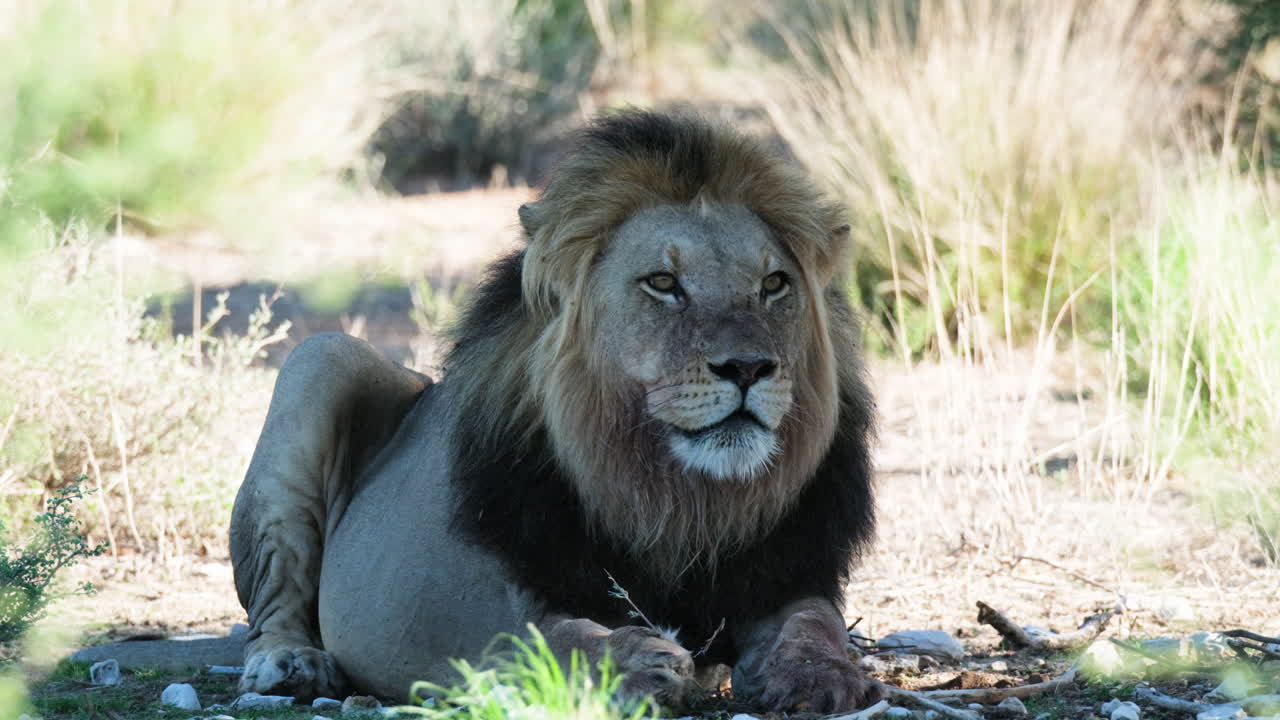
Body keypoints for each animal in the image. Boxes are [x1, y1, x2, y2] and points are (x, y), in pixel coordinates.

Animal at [77, 110, 882, 712]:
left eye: (774, 284)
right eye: (663, 283)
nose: (748, 368)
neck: (677, 501)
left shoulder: (786, 569)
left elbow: (816, 623)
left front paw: (822, 676)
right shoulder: (443, 593)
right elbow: (536, 634)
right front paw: (637, 662)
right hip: (320, 360)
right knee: (275, 598)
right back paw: (290, 665)